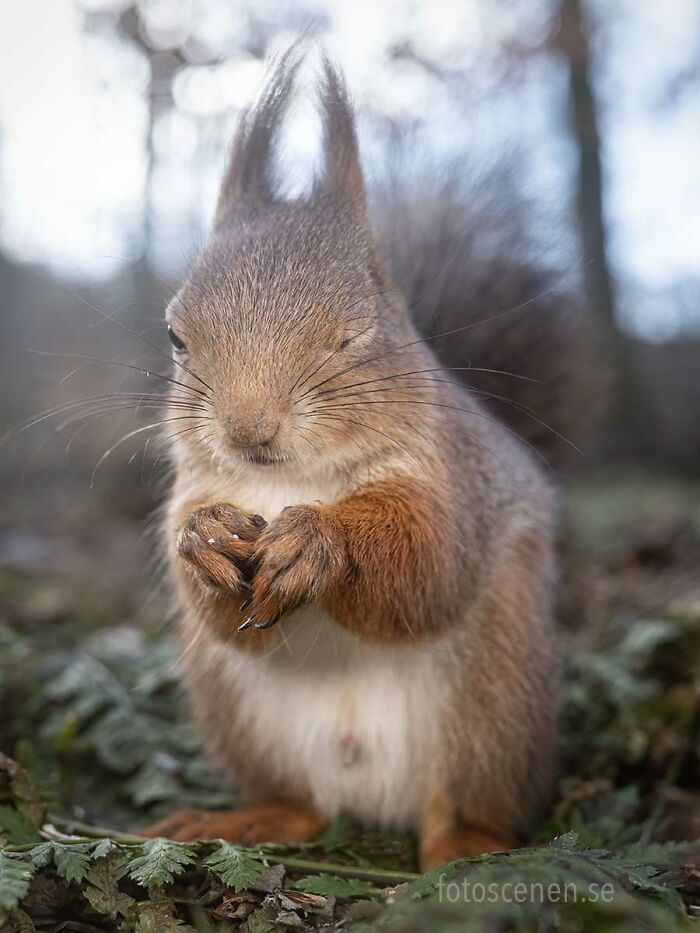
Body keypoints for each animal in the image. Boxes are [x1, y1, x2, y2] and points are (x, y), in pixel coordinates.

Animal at [141, 50, 581, 869]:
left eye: (353, 333)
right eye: (176, 337)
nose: (250, 428)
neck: (289, 481)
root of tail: (375, 798)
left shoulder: (451, 479)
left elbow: (428, 566)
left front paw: (319, 540)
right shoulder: (193, 485)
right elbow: (214, 599)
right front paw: (205, 538)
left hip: (494, 697)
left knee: (470, 805)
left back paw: (468, 851)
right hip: (235, 709)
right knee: (303, 806)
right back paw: (248, 819)